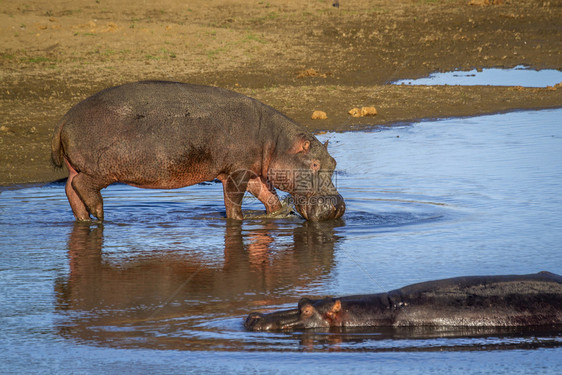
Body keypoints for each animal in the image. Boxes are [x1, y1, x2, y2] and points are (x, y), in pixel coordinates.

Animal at [52, 81, 344, 222]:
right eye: (314, 165)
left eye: (333, 162)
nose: (337, 207)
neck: (276, 141)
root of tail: (65, 118)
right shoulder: (236, 171)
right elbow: (233, 203)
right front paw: (238, 220)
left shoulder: (252, 171)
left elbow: (267, 196)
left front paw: (278, 214)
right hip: (102, 170)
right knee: (82, 186)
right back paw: (100, 214)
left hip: (76, 166)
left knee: (70, 189)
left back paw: (86, 220)